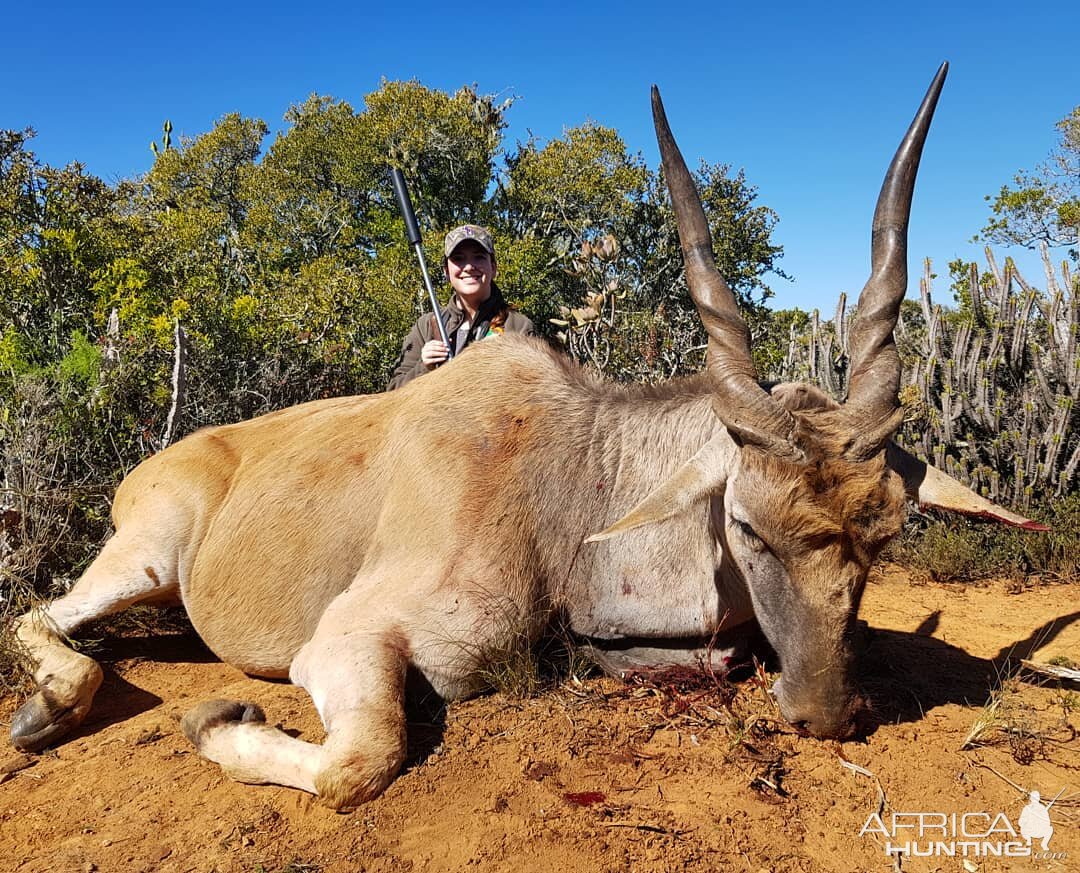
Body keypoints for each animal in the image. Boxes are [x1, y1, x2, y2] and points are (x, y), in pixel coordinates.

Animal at [4, 63, 1041, 812]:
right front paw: (215, 718)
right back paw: (47, 707)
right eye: (745, 524)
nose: (825, 712)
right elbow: (359, 760)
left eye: (885, 536)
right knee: (44, 614)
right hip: (145, 551)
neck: (569, 477)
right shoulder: (349, 638)